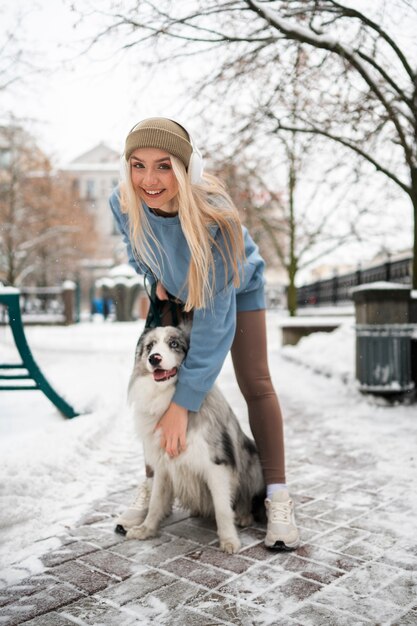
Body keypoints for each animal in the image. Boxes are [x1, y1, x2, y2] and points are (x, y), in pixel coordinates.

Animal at [125, 324, 264, 548]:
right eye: (150, 346)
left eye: (174, 344)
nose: (154, 358)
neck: (168, 399)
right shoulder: (162, 465)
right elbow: (155, 502)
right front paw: (146, 529)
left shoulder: (216, 464)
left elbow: (223, 509)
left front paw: (229, 540)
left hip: (252, 460)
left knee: (245, 496)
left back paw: (243, 515)